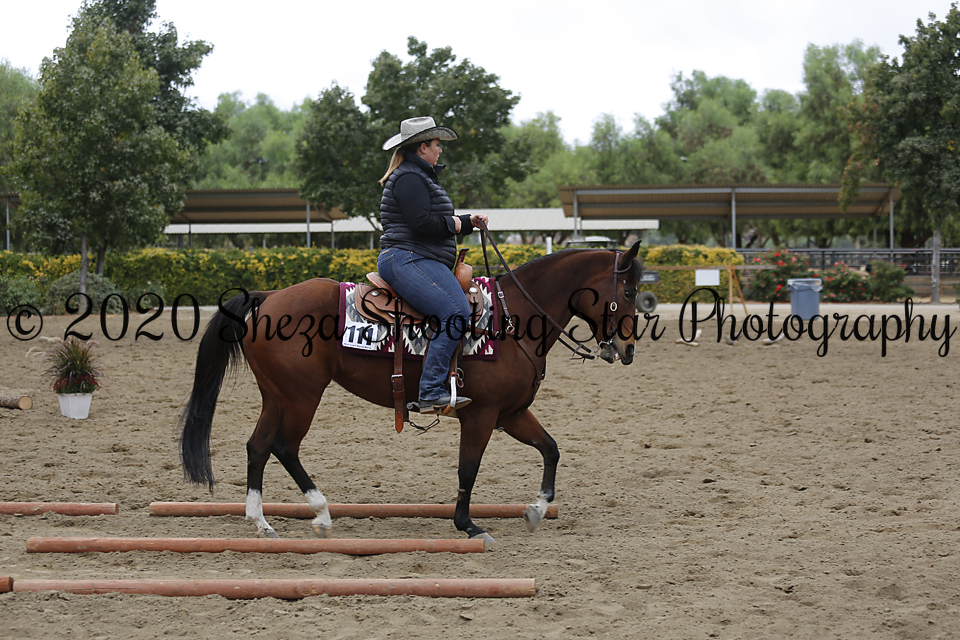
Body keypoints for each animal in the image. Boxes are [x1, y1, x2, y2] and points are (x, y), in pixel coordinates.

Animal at [179, 241, 643, 545]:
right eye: (630, 291)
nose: (628, 349)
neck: (511, 321)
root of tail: (270, 297)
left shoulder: (511, 414)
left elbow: (551, 449)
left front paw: (537, 509)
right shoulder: (481, 415)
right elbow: (468, 469)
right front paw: (467, 525)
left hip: (276, 396)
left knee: (258, 446)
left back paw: (260, 521)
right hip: (300, 397)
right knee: (283, 446)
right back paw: (322, 513)